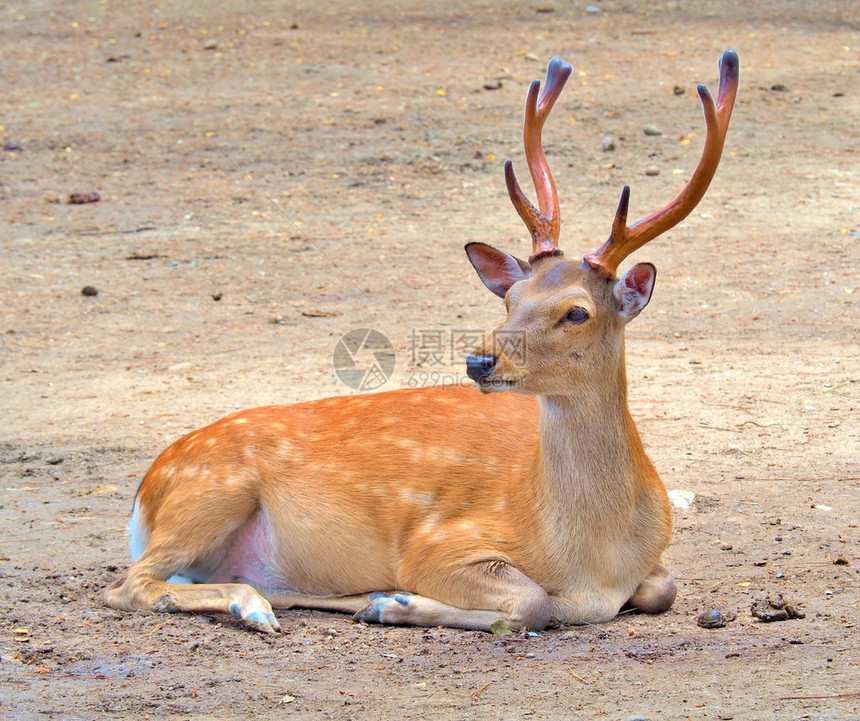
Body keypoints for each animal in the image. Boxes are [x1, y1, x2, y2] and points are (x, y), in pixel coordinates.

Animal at [106, 50, 740, 632]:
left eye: (577, 311)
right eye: (511, 297)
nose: (480, 359)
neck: (593, 559)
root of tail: (146, 489)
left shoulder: (653, 563)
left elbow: (662, 589)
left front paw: (386, 603)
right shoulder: (439, 542)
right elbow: (533, 602)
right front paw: (397, 601)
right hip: (211, 489)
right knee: (130, 584)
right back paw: (258, 605)